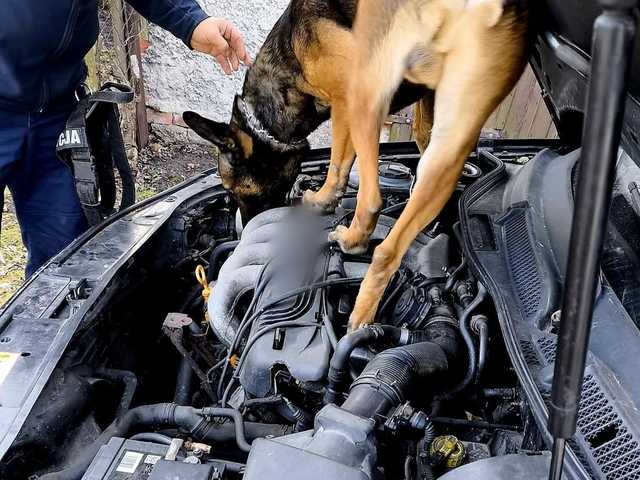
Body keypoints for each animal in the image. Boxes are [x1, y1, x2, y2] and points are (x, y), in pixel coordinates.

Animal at [184, 0, 524, 330]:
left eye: (233, 190)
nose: (244, 229)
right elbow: (366, 152)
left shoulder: (344, 98)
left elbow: (338, 162)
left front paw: (322, 200)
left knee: (375, 208)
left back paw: (355, 249)